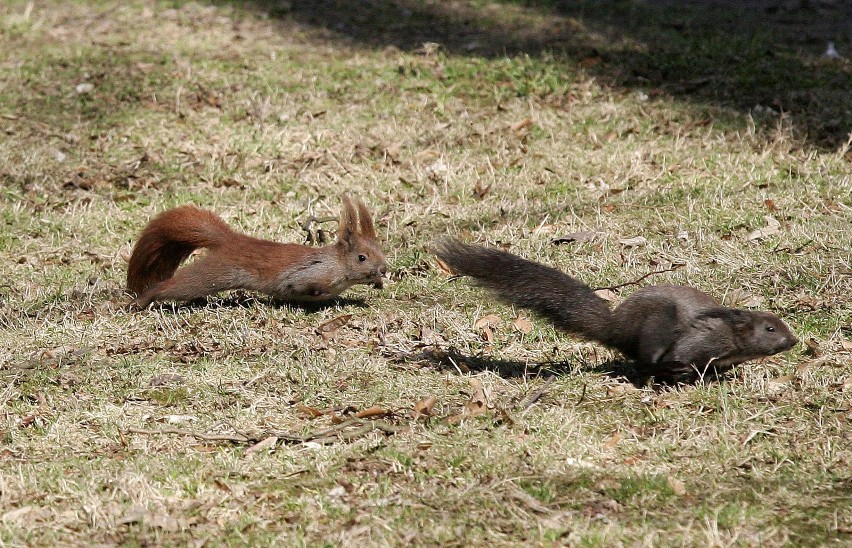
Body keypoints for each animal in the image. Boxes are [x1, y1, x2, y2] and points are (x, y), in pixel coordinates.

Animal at [126, 196, 386, 308]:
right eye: (361, 258)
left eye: (381, 252)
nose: (383, 269)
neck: (338, 266)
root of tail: (231, 240)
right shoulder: (311, 272)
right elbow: (300, 285)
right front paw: (312, 293)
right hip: (213, 274)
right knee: (175, 286)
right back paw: (142, 300)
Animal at [432, 240, 800, 382]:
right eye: (770, 328)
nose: (794, 341)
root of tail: (617, 327)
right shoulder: (695, 341)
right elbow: (680, 358)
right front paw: (682, 373)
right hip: (656, 323)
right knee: (645, 359)